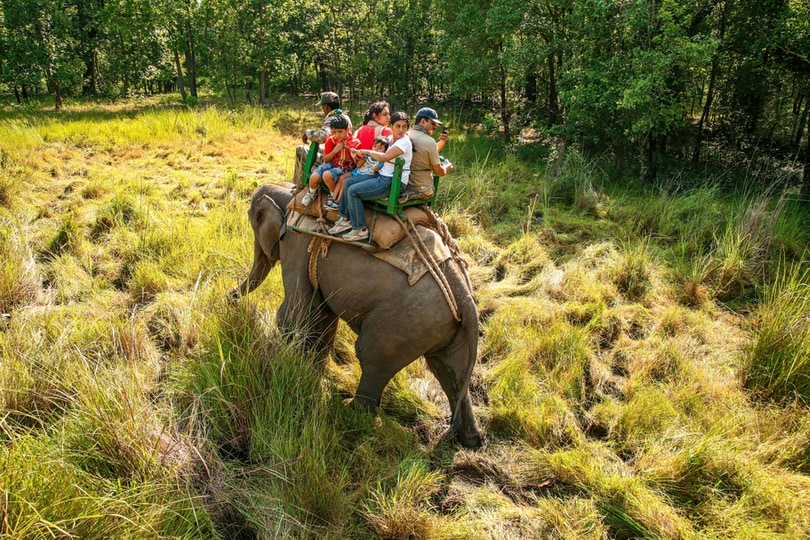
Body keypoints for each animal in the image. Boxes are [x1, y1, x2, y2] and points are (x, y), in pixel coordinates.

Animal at [229, 181, 480, 448]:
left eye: (252, 220)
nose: (230, 298)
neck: (291, 192)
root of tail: (465, 295)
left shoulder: (296, 243)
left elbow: (297, 313)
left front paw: (290, 362)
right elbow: (322, 316)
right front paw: (311, 369)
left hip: (403, 325)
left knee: (372, 358)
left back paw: (349, 410)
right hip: (441, 326)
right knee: (449, 368)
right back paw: (468, 441)